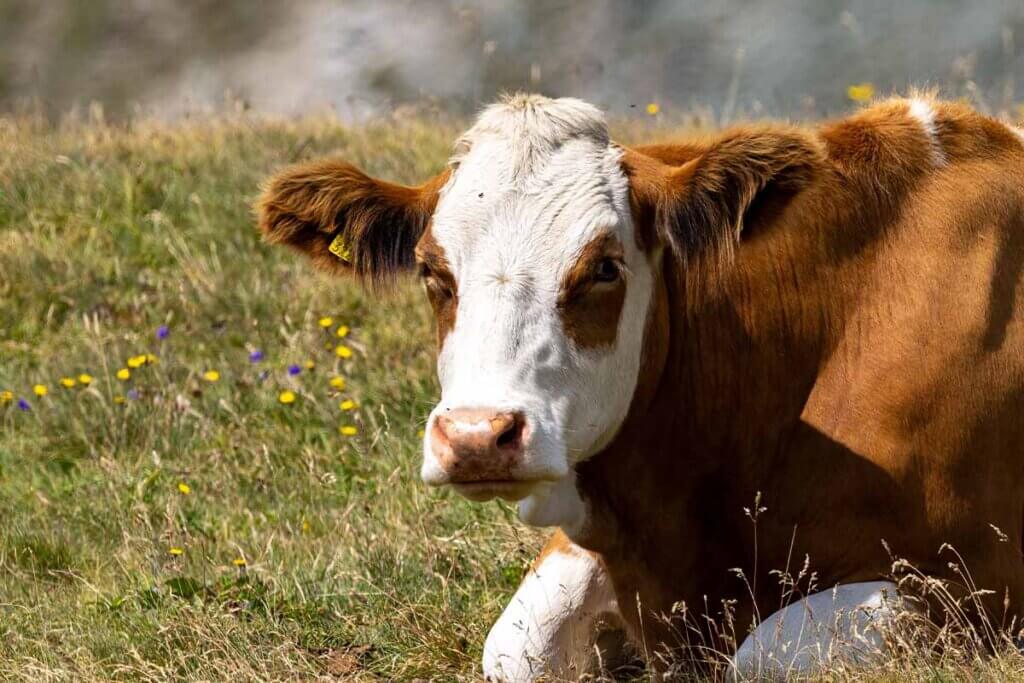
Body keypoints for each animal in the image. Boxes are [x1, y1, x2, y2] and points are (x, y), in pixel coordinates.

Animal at [257, 93, 1024, 680]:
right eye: (430, 271)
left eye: (604, 266)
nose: (476, 436)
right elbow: (514, 646)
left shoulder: (969, 588)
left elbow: (761, 655)